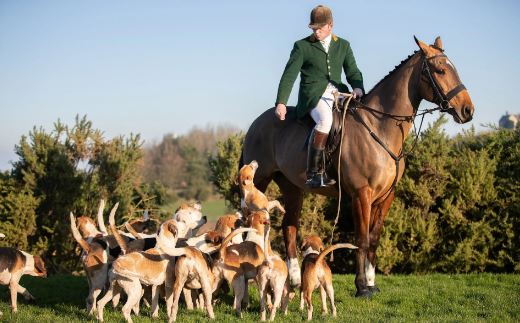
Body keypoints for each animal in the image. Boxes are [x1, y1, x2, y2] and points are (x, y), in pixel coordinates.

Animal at [242, 36, 474, 298]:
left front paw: (372, 282)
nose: (468, 110)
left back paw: (295, 281)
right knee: (249, 224)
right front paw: (362, 286)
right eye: (440, 70)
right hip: (258, 182)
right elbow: (361, 240)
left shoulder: (386, 197)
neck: (379, 126)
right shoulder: (362, 195)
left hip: (292, 187)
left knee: (289, 228)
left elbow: (373, 239)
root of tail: (257, 122)